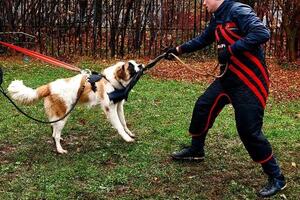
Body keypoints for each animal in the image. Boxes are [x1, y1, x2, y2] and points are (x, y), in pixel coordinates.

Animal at [7, 60, 143, 154]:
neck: (110, 80)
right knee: (55, 134)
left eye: (135, 62)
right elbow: (119, 125)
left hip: (58, 116)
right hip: (62, 116)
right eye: (131, 66)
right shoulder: (110, 109)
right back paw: (60, 150)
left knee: (54, 131)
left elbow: (123, 123)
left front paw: (129, 133)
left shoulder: (119, 106)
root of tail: (49, 86)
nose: (141, 65)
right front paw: (127, 138)